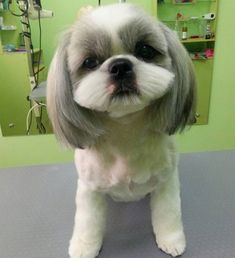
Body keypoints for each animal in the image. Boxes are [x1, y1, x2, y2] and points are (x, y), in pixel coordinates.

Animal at [46, 3, 196, 258]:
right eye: (90, 62)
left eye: (145, 50)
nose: (120, 66)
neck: (125, 133)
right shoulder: (89, 188)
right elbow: (87, 221)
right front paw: (84, 247)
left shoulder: (166, 181)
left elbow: (169, 212)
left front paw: (171, 239)